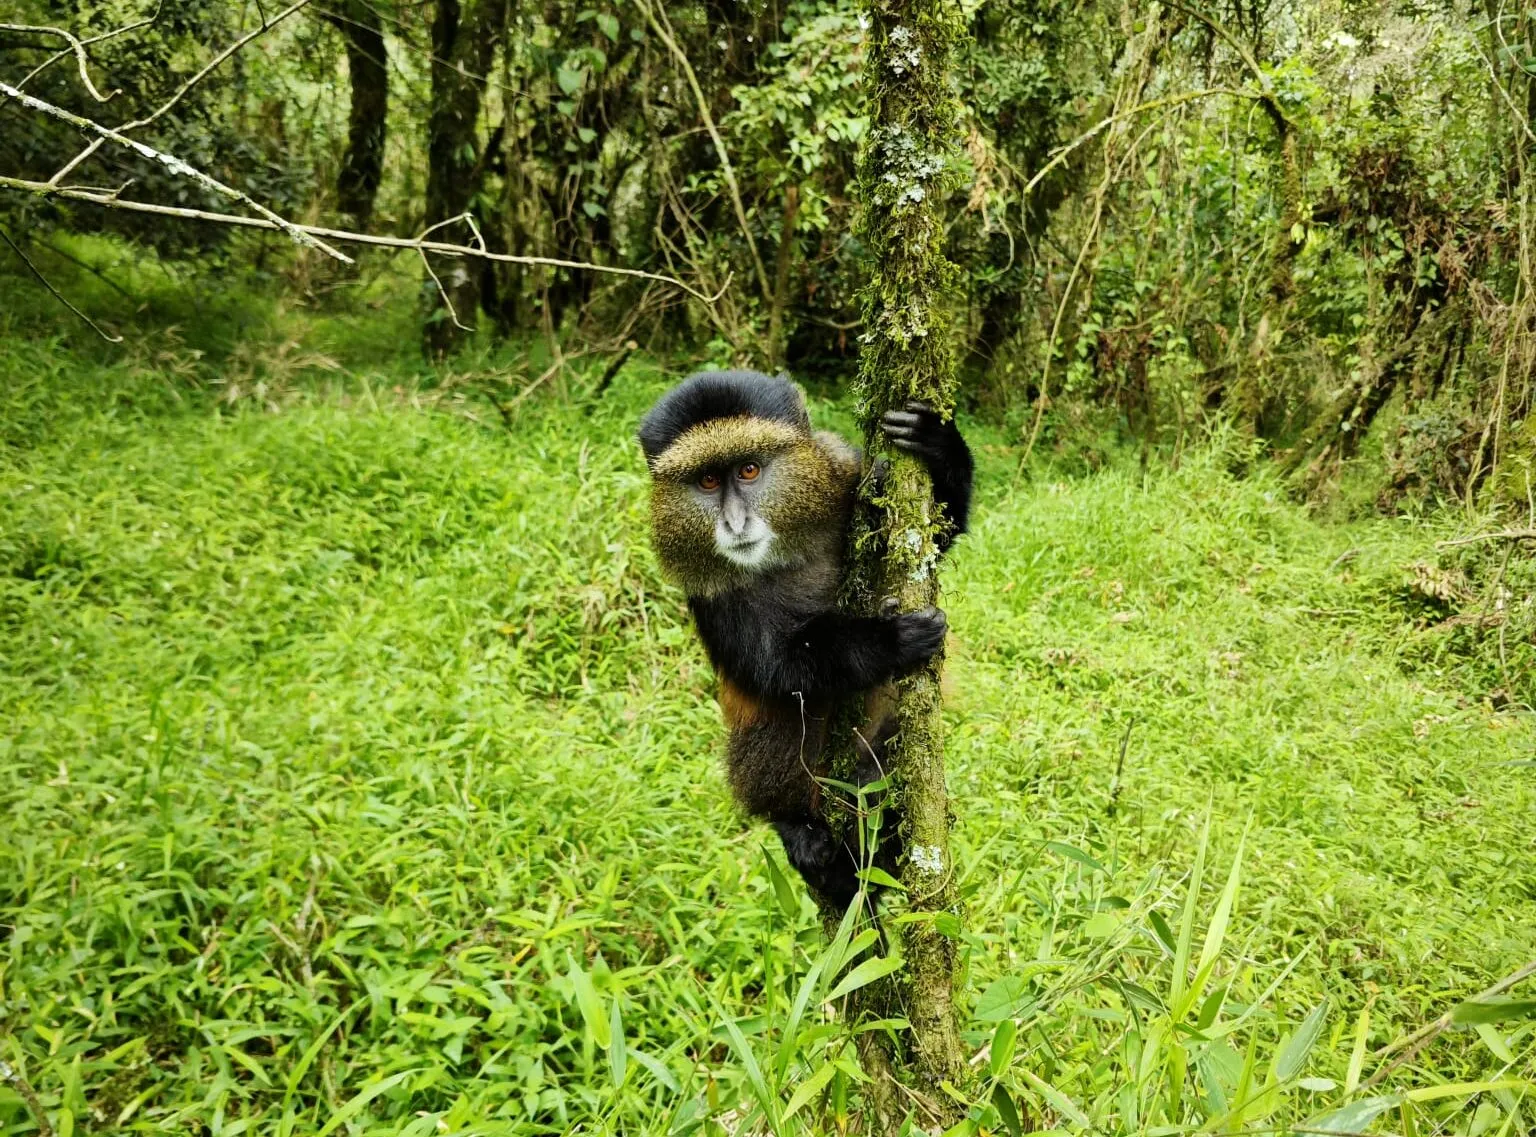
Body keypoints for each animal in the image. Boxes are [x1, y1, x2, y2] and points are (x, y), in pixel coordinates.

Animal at [638, 370, 973, 909]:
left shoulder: (847, 473)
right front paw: (888, 640)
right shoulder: (707, 591)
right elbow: (776, 667)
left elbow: (939, 535)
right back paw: (799, 829)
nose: (734, 523)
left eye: (749, 470)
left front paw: (936, 440)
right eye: (707, 481)